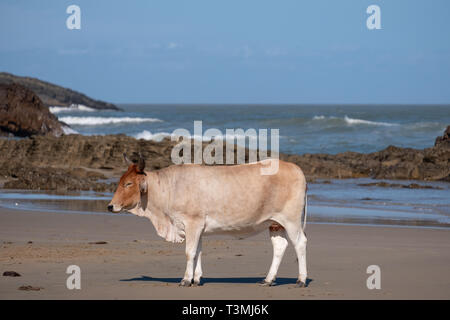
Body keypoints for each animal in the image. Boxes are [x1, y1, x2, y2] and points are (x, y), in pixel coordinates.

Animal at [107, 153, 308, 288]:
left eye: (129, 183)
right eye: (120, 181)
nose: (110, 206)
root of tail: (295, 168)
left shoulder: (192, 223)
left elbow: (190, 252)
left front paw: (186, 279)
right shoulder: (197, 228)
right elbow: (198, 252)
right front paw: (196, 278)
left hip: (291, 221)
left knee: (300, 243)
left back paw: (301, 280)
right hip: (275, 223)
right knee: (280, 247)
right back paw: (268, 279)